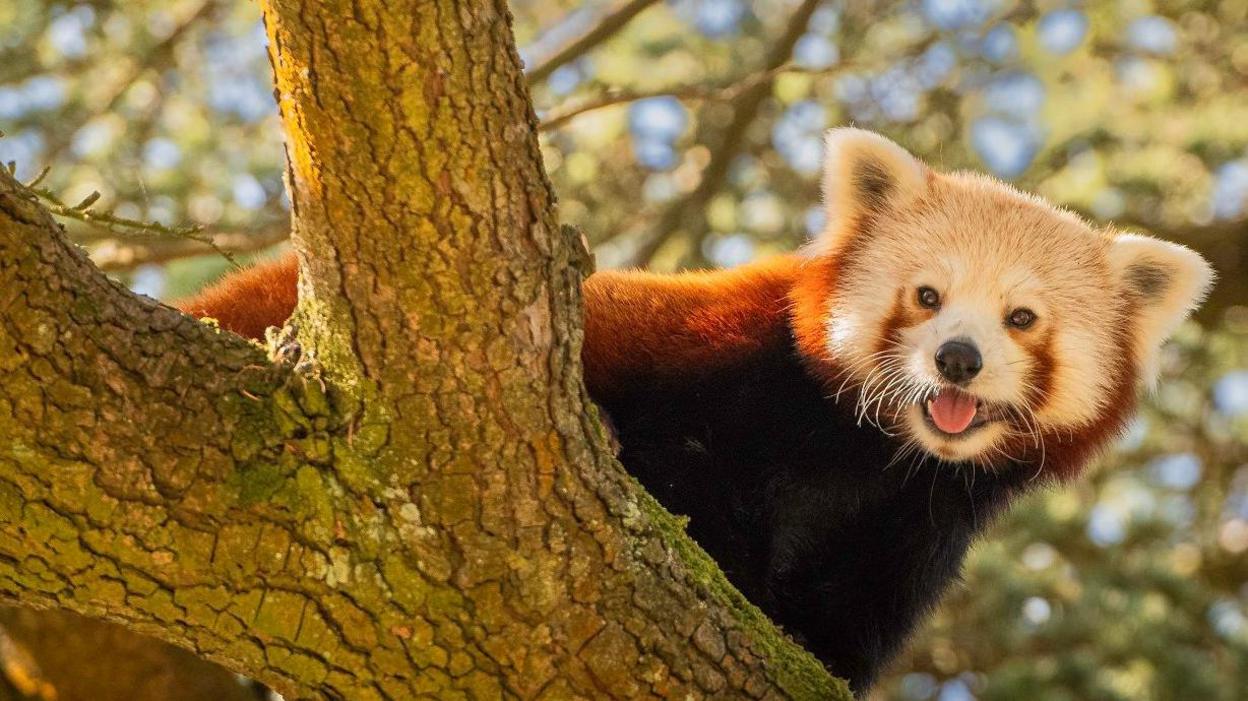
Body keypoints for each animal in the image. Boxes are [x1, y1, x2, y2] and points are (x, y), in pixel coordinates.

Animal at [170, 128, 1213, 688]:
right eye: (926, 296)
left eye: (1020, 318)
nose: (958, 357)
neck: (867, 449)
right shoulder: (713, 372)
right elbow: (684, 476)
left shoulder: (918, 521)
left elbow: (854, 613)